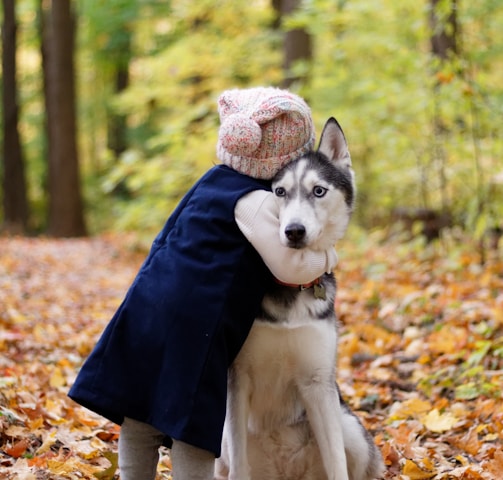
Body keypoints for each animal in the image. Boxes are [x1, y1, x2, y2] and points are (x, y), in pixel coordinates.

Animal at [215, 119, 384, 480]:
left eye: (318, 191)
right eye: (279, 192)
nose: (293, 231)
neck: (290, 283)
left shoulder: (318, 384)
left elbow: (337, 465)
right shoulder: (237, 381)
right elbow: (239, 464)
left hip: (349, 427)